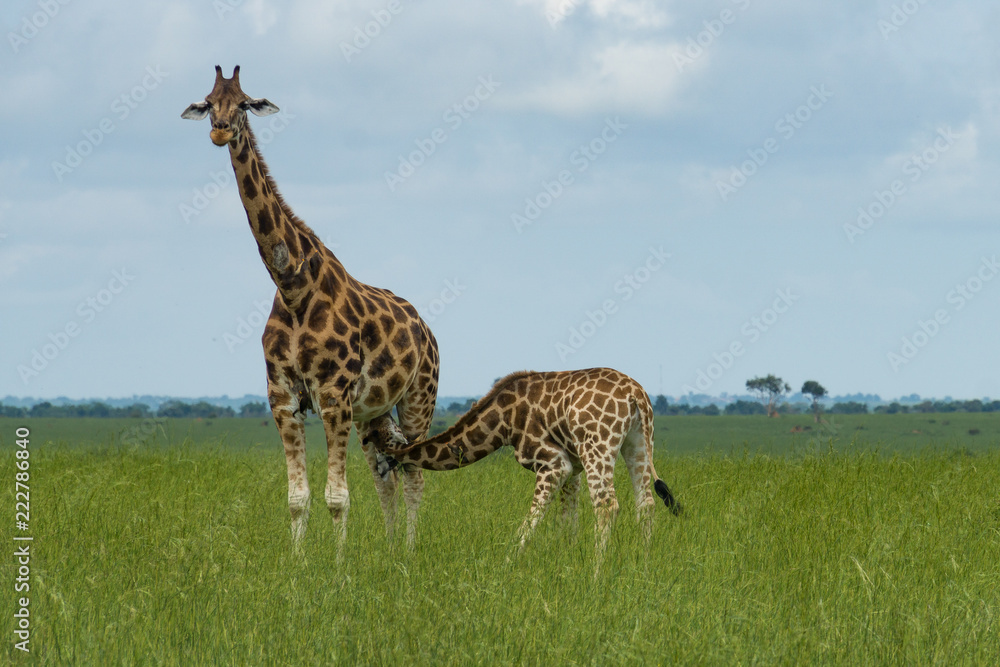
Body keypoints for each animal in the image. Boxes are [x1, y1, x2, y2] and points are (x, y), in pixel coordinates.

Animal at [181, 66, 440, 553]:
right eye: (207, 101)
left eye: (244, 104)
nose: (219, 130)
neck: (291, 285)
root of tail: (427, 330)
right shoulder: (282, 397)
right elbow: (297, 497)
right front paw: (298, 564)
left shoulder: (334, 396)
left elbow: (337, 497)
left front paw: (338, 568)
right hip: (374, 413)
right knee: (386, 476)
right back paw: (390, 549)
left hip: (419, 396)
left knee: (414, 473)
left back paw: (411, 551)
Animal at [364, 368, 681, 570]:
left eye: (374, 436)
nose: (379, 467)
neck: (503, 422)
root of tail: (636, 395)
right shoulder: (573, 468)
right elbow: (567, 519)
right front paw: (564, 562)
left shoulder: (553, 461)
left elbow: (535, 514)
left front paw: (506, 563)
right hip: (637, 442)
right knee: (646, 503)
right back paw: (644, 566)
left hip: (598, 444)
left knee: (607, 504)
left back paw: (597, 573)